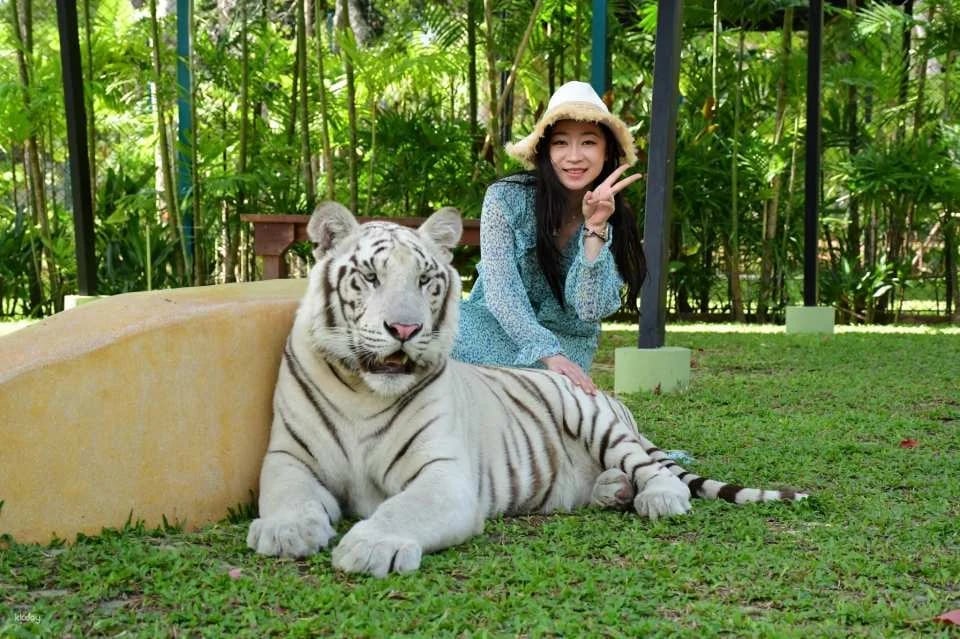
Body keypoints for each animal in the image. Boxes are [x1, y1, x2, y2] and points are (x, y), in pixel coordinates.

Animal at [246, 201, 807, 577]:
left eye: (427, 281)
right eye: (368, 276)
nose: (405, 329)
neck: (364, 391)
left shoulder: (444, 475)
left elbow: (404, 508)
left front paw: (369, 547)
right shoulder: (288, 457)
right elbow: (287, 493)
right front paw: (286, 531)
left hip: (595, 420)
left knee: (656, 471)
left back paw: (657, 498)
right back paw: (613, 490)